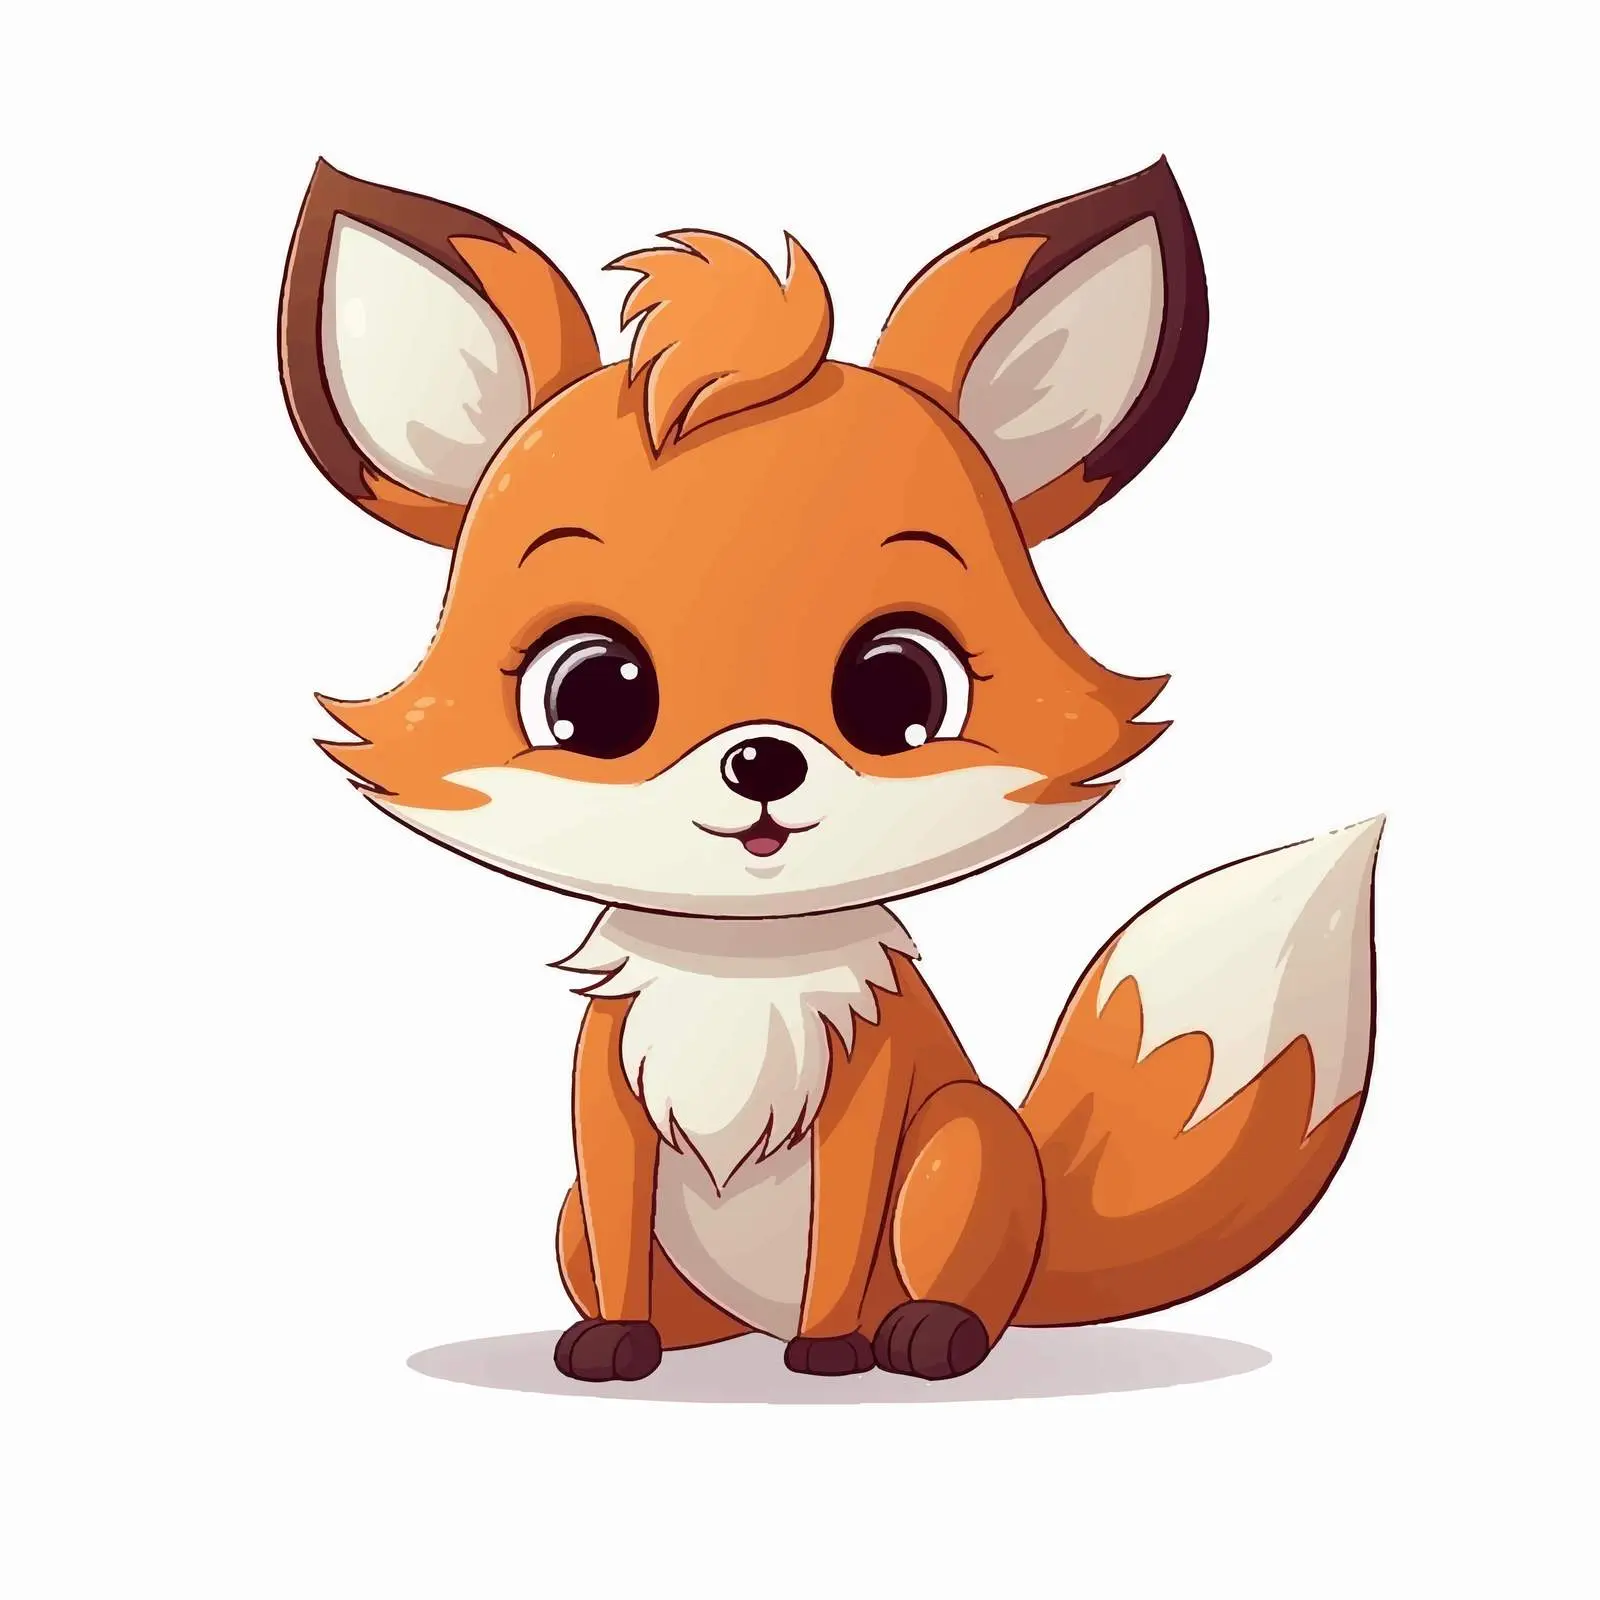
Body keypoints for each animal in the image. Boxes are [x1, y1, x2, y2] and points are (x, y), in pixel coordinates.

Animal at [277, 156, 1381, 1383]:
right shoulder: (606, 1100)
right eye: (593, 694)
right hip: (579, 1218)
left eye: (898, 691)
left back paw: (925, 1333)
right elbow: (615, 1218)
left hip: (966, 1142)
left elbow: (842, 1236)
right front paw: (614, 1339)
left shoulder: (871, 1093)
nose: (762, 755)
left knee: (958, 1276)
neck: (739, 968)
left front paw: (832, 1349)